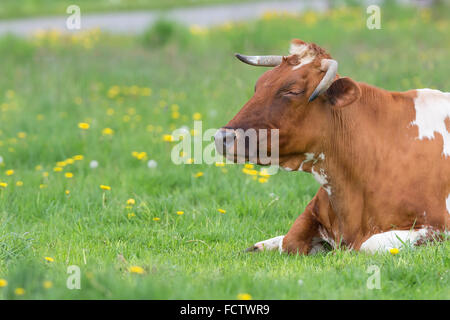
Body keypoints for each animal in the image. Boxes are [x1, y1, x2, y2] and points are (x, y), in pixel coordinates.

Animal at [214, 39, 450, 255]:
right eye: (258, 85)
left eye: (293, 91)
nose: (222, 137)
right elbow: (290, 240)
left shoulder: (438, 227)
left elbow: (369, 244)